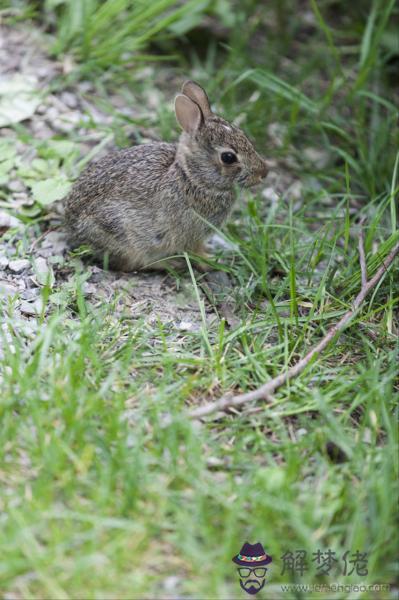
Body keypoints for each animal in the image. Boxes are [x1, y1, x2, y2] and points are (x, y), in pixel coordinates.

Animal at [63, 80, 268, 272]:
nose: (263, 173)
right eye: (228, 157)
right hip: (121, 235)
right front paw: (211, 263)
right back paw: (171, 264)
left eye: (243, 135)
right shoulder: (190, 234)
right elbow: (196, 252)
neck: (192, 178)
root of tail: (72, 229)